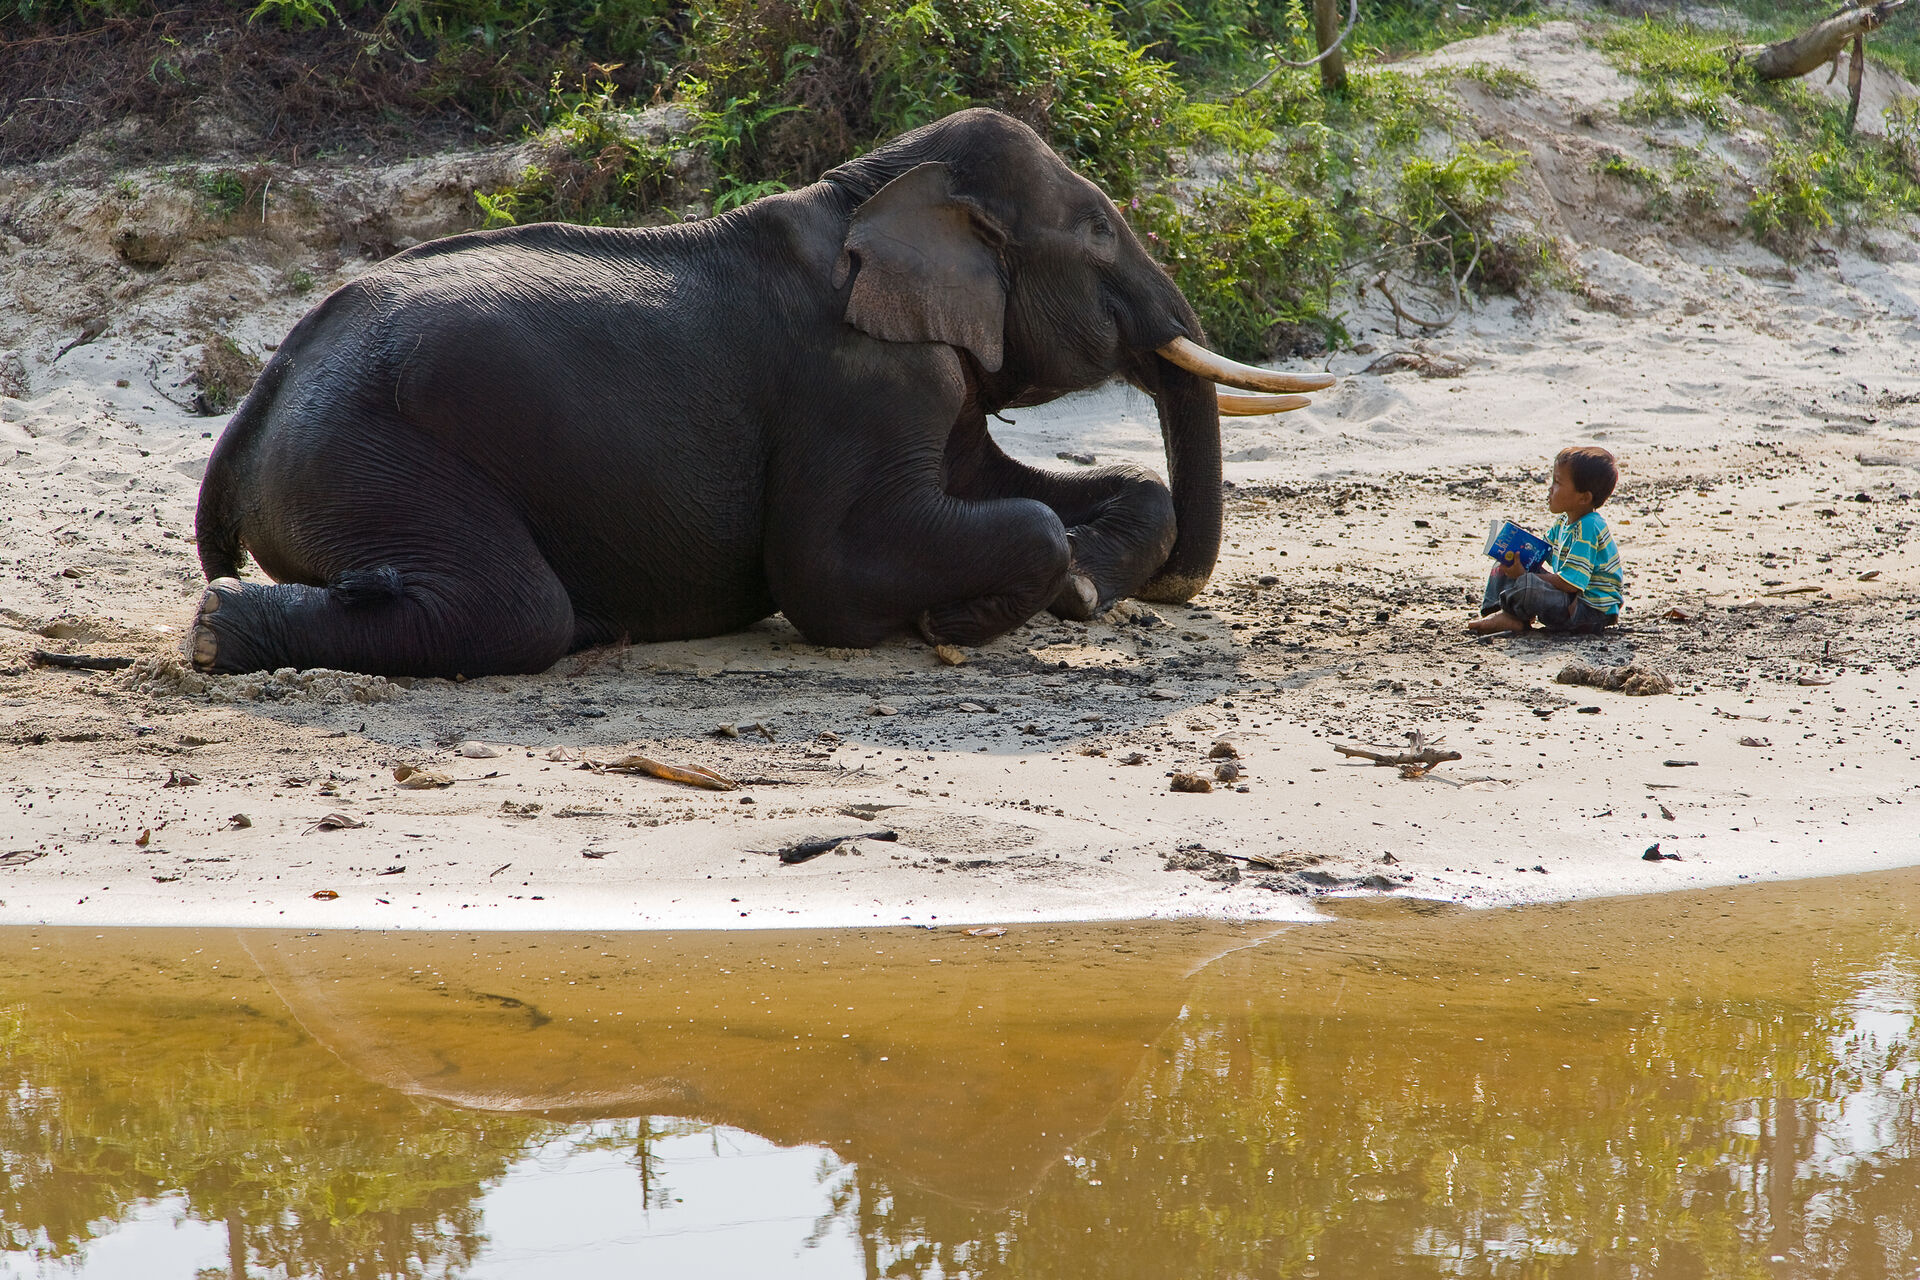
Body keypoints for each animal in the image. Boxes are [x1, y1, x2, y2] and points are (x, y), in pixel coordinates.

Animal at [189, 108, 1331, 678]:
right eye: (1097, 237)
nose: (1158, 593)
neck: (873, 183)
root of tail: (266, 387)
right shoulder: (854, 378)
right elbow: (828, 568)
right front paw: (982, 607)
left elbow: (1033, 486)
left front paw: (1083, 587)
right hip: (367, 453)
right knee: (512, 610)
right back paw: (218, 629)